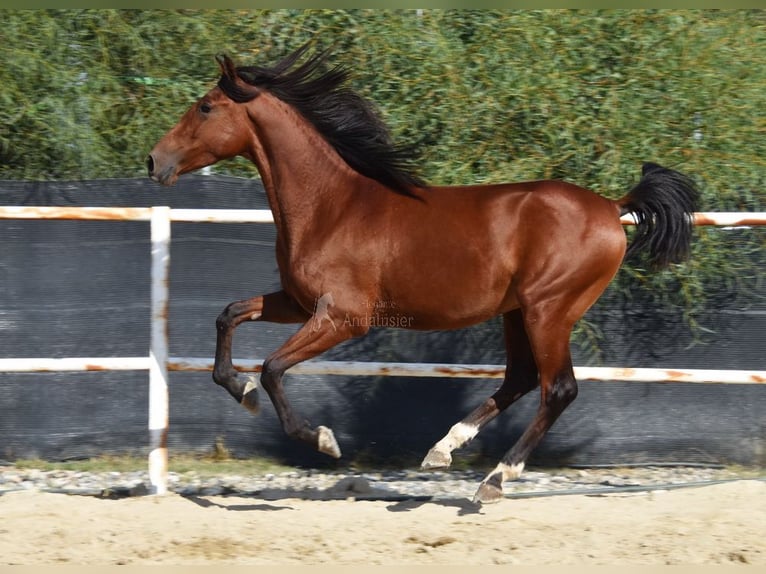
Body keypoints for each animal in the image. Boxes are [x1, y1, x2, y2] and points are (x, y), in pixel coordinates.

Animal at [146, 45, 704, 504]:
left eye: (205, 106)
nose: (154, 161)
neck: (332, 206)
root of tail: (611, 207)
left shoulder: (344, 318)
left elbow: (272, 367)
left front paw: (322, 440)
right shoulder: (298, 303)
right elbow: (228, 316)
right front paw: (239, 390)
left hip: (550, 311)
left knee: (558, 389)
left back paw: (493, 480)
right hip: (517, 313)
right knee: (521, 380)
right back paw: (443, 450)